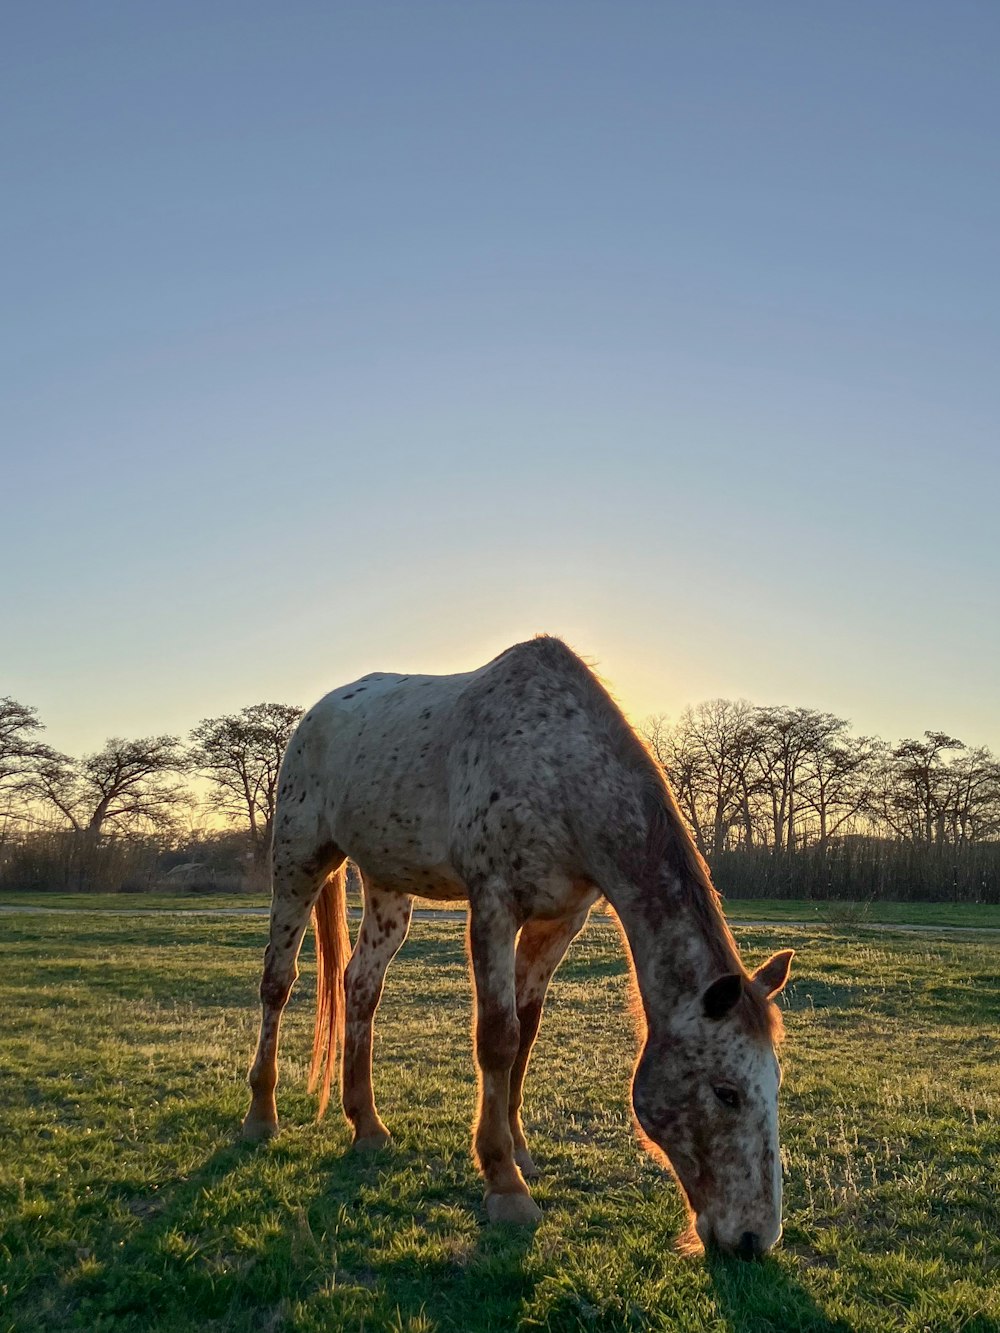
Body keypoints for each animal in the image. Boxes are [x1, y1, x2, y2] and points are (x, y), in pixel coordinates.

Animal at [241, 639, 789, 1253]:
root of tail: (316, 714)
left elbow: (526, 1031)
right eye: (726, 1092)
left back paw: (367, 1125)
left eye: (775, 1085)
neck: (560, 766)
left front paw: (520, 1149)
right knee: (277, 982)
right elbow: (498, 1038)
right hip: (299, 860)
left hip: (387, 885)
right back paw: (260, 1114)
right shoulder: (494, 905)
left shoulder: (560, 921)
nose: (756, 1238)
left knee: (360, 986)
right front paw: (504, 1183)